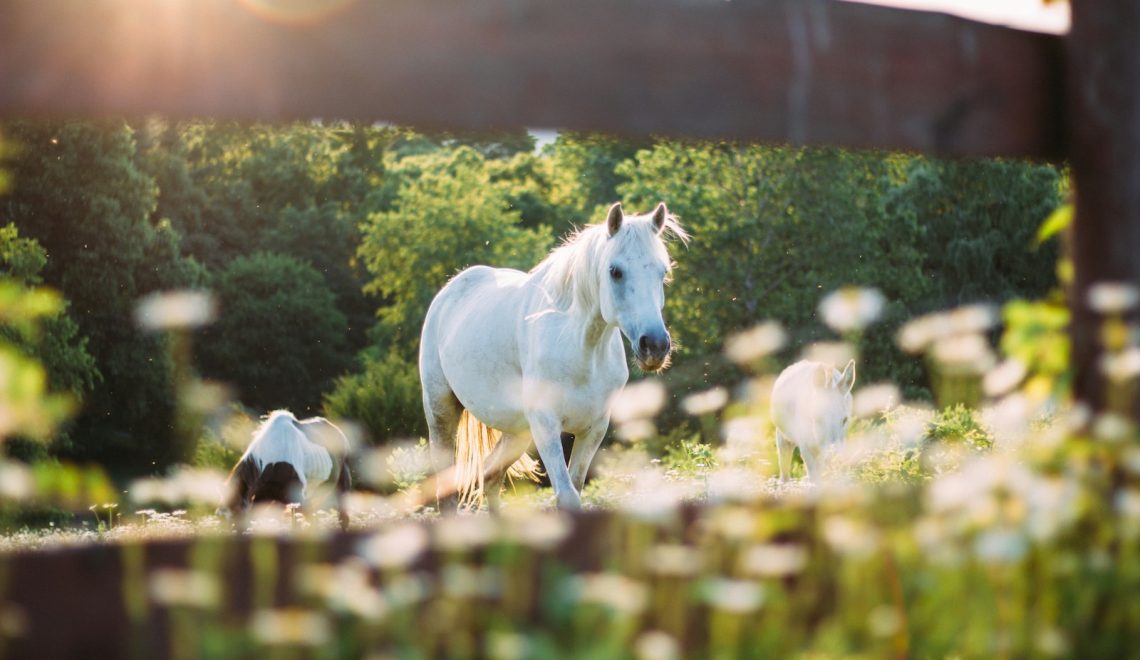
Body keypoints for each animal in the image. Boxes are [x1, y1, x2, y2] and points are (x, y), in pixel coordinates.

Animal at [419, 201, 684, 510]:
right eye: (615, 271)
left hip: (518, 431)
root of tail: (450, 290)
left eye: (662, 272)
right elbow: (567, 495)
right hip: (441, 412)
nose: (655, 345)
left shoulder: (593, 429)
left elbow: (575, 487)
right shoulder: (546, 426)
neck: (581, 352)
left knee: (492, 476)